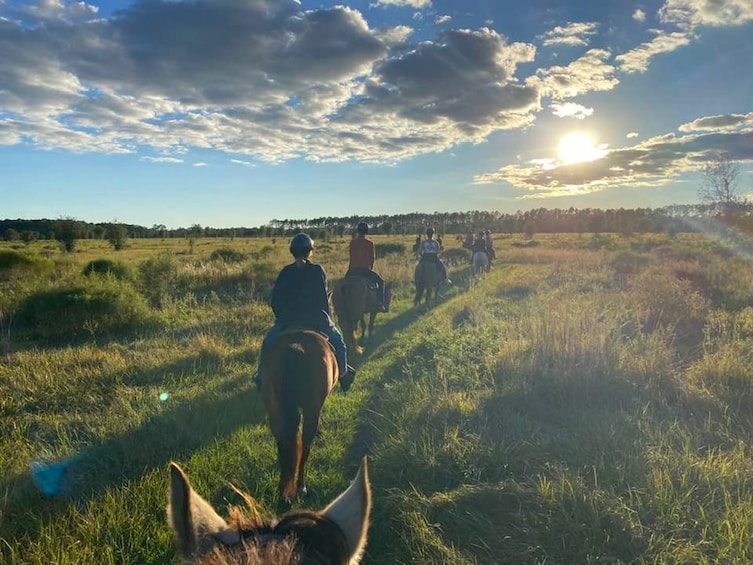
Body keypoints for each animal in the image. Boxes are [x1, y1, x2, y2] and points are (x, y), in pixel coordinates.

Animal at [262, 328, 338, 504]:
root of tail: (295, 348)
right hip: (311, 411)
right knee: (305, 446)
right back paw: (301, 487)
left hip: (275, 412)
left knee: (284, 444)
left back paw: (283, 492)